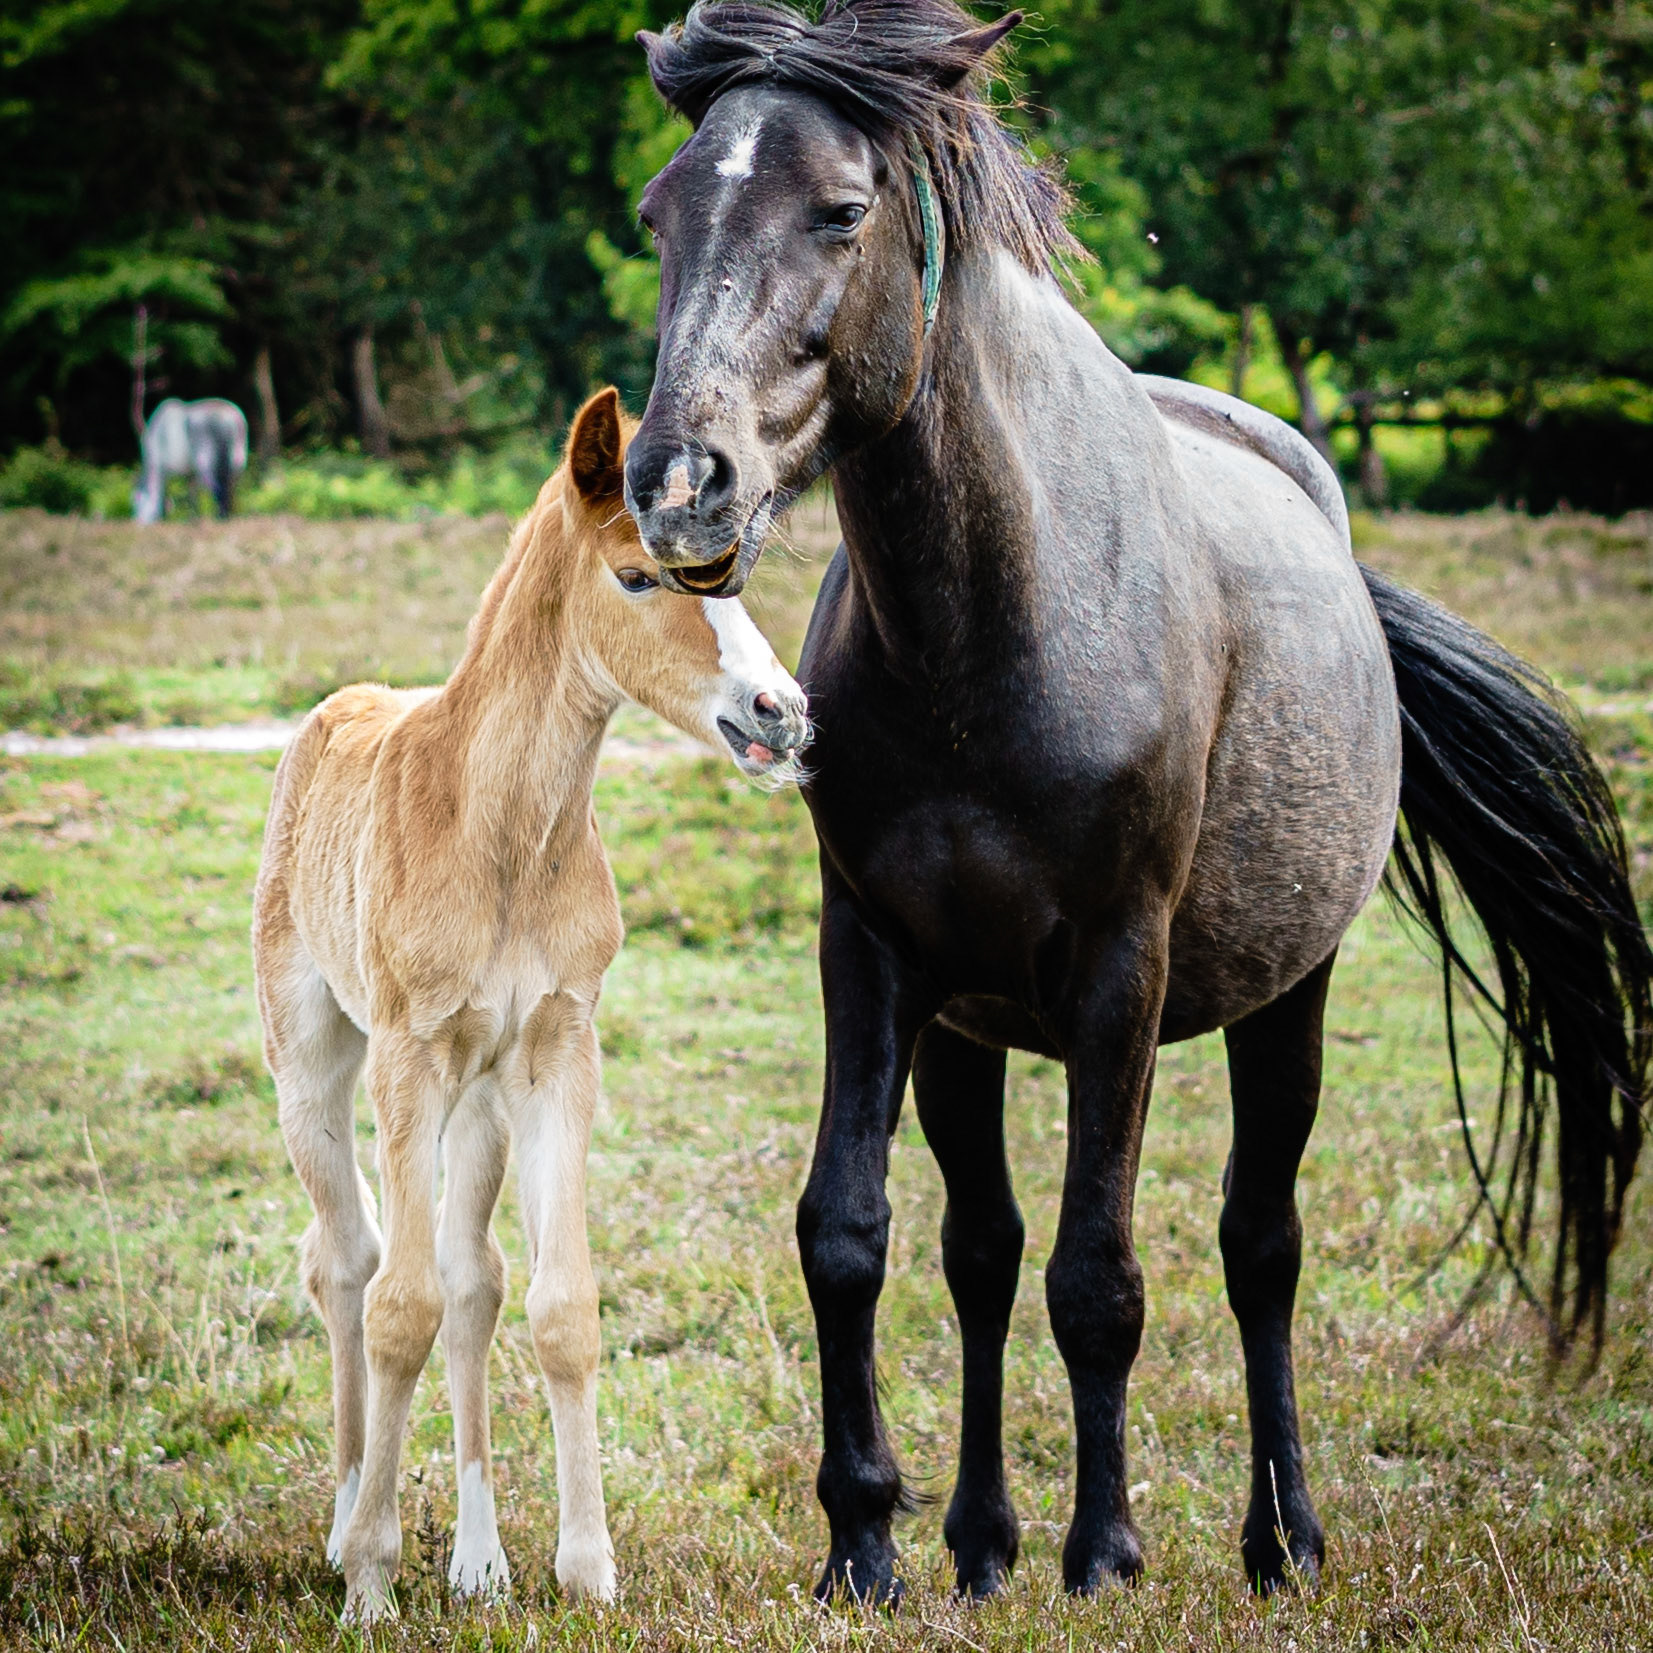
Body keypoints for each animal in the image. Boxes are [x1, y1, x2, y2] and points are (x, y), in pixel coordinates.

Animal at [251, 388, 809, 1620]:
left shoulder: (556, 1051)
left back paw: (478, 1557)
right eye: (638, 577)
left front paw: (586, 1569)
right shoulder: (408, 1055)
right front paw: (372, 1583)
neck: (500, 832)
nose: (784, 714)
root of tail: (333, 710)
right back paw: (347, 1520)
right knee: (349, 1262)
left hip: (481, 1102)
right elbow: (399, 1308)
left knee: (474, 1280)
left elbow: (558, 1307)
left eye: (730, 573)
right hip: (315, 1064)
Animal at [620, 0, 1653, 1603]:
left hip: (1287, 998)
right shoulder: (874, 954)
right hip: (967, 1031)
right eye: (661, 214)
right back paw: (982, 1544)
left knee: (1257, 1247)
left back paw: (1282, 1537)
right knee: (980, 1254)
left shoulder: (1123, 967)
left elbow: (1100, 1276)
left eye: (841, 211)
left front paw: (1104, 1550)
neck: (994, 623)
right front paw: (866, 1543)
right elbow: (851, 1236)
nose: (678, 485)